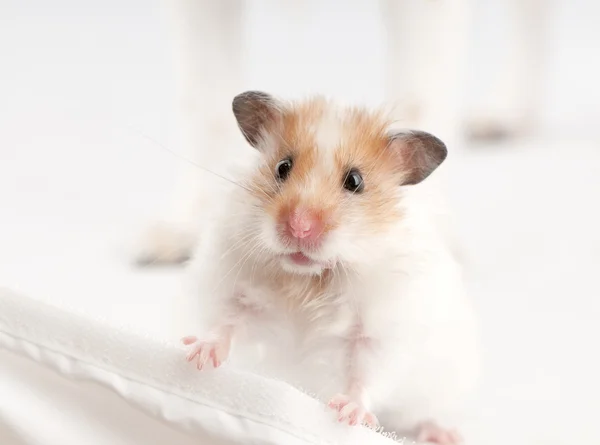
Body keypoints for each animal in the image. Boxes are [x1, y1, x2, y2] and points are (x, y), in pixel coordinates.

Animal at [180, 91, 480, 444]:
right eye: (282, 167)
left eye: (355, 181)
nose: (299, 227)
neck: (309, 277)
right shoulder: (232, 287)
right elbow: (226, 323)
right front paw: (197, 354)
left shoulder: (381, 332)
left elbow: (365, 373)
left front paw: (347, 413)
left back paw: (442, 434)